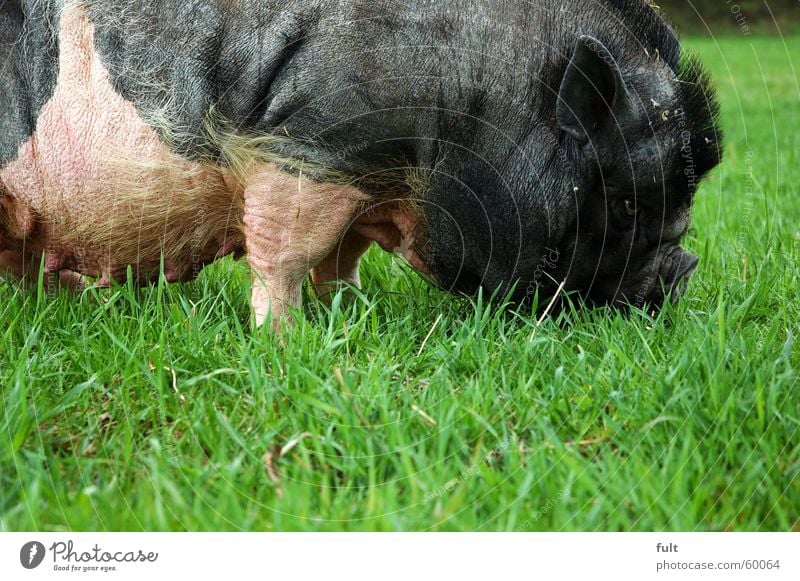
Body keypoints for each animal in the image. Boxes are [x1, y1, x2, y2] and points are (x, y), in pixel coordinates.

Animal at [0, 0, 720, 326]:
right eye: (625, 202)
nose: (683, 271)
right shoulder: (308, 149)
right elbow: (286, 256)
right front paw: (284, 340)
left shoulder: (365, 184)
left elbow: (340, 257)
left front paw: (348, 313)